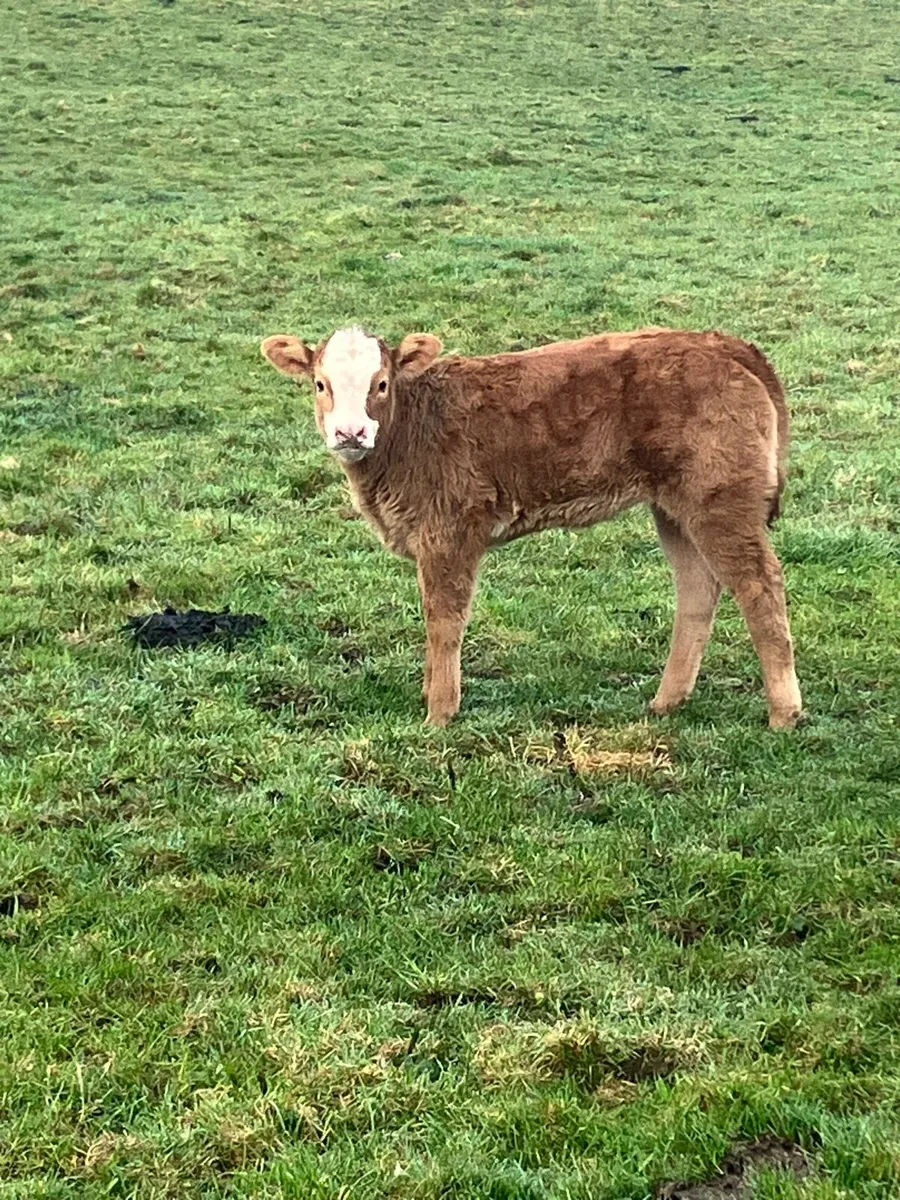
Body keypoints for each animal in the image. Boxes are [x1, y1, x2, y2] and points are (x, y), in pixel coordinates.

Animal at [261, 325, 802, 730]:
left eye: (381, 384)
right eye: (320, 384)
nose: (349, 432)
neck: (412, 430)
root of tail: (724, 344)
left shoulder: (450, 530)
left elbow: (443, 620)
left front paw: (439, 713)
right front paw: (431, 694)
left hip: (720, 498)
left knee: (759, 586)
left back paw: (784, 713)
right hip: (674, 506)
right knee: (697, 587)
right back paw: (667, 701)